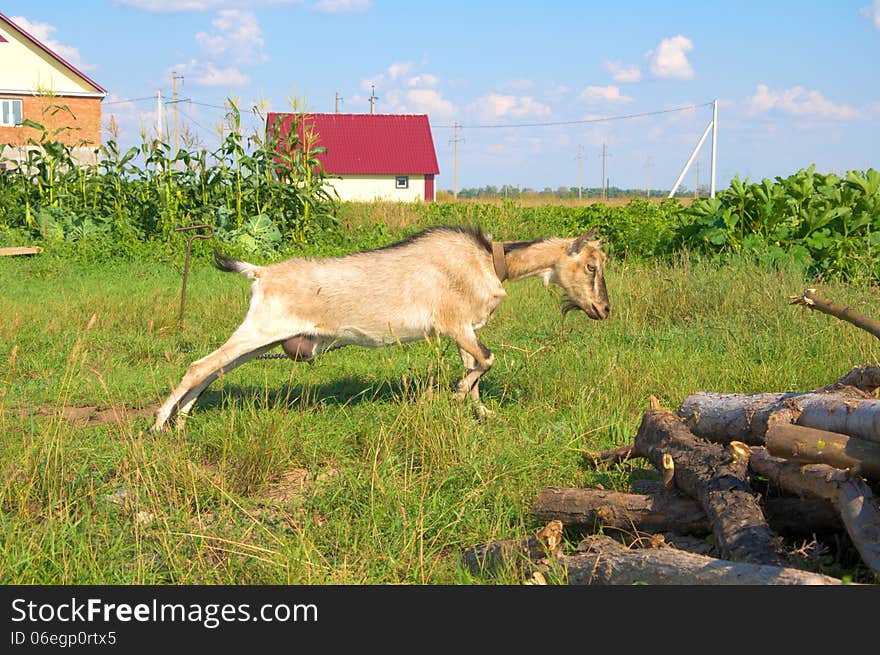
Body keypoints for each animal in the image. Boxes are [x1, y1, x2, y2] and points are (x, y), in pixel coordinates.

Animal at [151, 223, 608, 434]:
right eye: (591, 266)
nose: (603, 309)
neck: (490, 261)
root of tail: (260, 272)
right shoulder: (454, 324)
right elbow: (487, 361)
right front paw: (453, 397)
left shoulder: (465, 329)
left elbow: (476, 366)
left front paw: (481, 411)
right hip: (261, 329)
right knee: (199, 366)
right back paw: (159, 423)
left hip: (264, 339)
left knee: (214, 369)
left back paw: (183, 419)